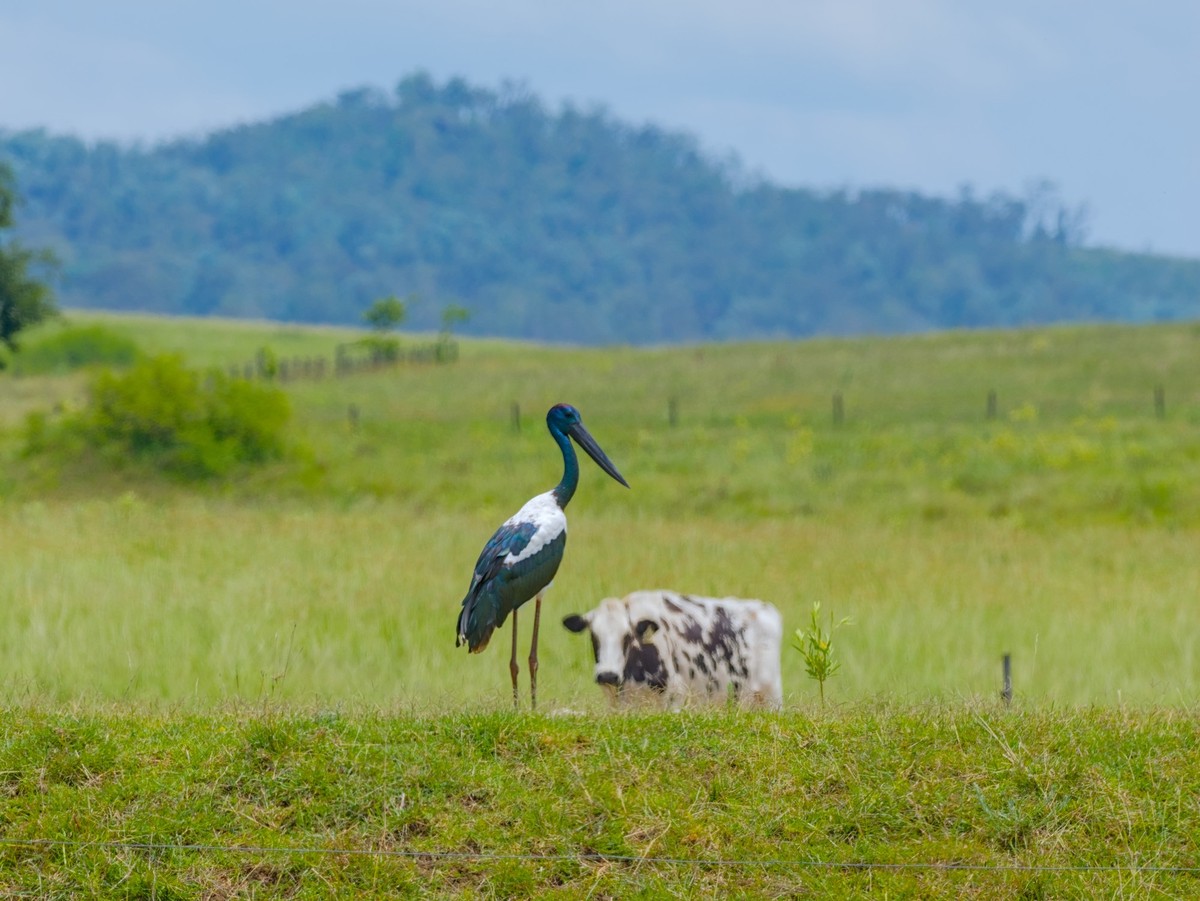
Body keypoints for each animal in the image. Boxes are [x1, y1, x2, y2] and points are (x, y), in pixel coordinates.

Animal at [562, 590, 783, 710]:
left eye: (627, 636)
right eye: (593, 635)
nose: (607, 674)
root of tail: (763, 608)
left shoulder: (676, 695)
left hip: (771, 697)